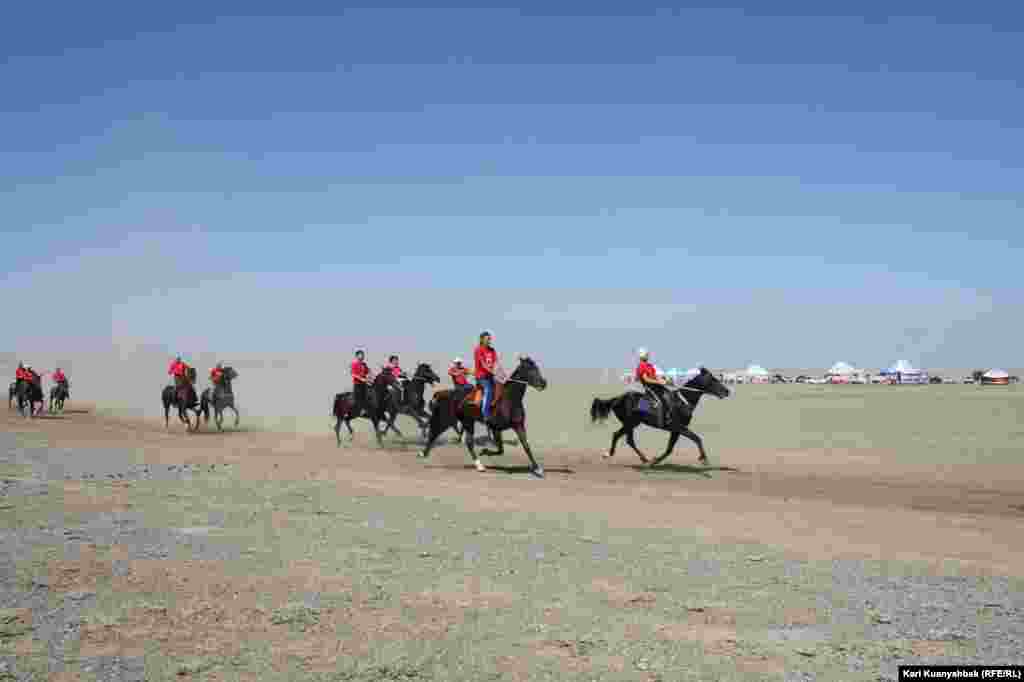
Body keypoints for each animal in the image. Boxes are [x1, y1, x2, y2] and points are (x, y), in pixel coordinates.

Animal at [415, 356, 548, 477]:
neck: (509, 399)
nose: (543, 383)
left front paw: (538, 469)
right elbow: (501, 449)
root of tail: (443, 394)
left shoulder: (518, 425)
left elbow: (525, 446)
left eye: (537, 368)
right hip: (448, 419)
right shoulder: (495, 428)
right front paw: (485, 451)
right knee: (435, 433)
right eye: (530, 369)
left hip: (467, 421)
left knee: (467, 441)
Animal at [589, 366, 733, 466]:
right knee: (628, 439)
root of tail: (618, 398)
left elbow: (669, 449)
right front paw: (704, 459)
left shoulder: (675, 430)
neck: (682, 401)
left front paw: (656, 461)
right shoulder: (678, 427)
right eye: (713, 380)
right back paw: (641, 458)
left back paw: (620, 455)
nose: (727, 391)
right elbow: (697, 438)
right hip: (630, 422)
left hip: (633, 423)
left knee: (619, 436)